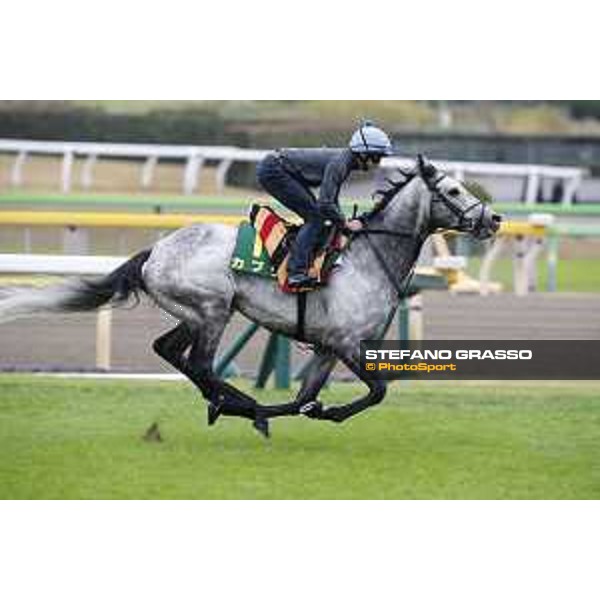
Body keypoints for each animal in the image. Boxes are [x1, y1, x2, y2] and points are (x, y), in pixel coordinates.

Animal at [0, 156, 500, 436]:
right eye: (453, 190)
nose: (493, 219)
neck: (366, 256)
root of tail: (155, 251)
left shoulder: (327, 346)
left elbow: (303, 399)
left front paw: (313, 410)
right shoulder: (346, 342)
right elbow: (377, 390)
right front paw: (320, 413)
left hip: (193, 313)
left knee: (169, 350)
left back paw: (231, 403)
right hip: (213, 309)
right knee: (201, 364)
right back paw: (237, 404)